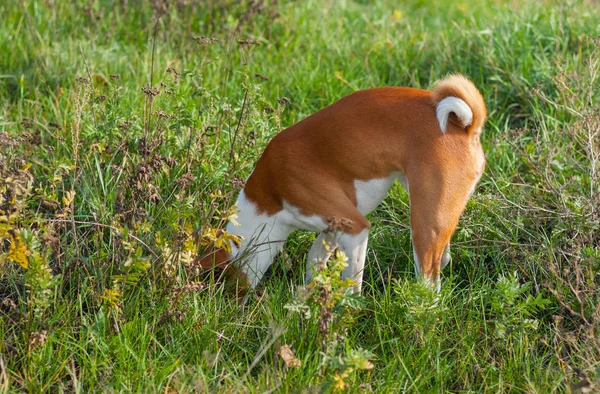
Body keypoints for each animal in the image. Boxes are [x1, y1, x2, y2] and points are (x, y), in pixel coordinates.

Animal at [200, 75, 488, 294]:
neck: (269, 197)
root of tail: (464, 125)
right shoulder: (330, 229)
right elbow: (314, 260)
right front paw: (307, 295)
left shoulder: (355, 228)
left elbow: (351, 285)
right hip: (435, 210)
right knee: (445, 254)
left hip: (423, 226)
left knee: (428, 281)